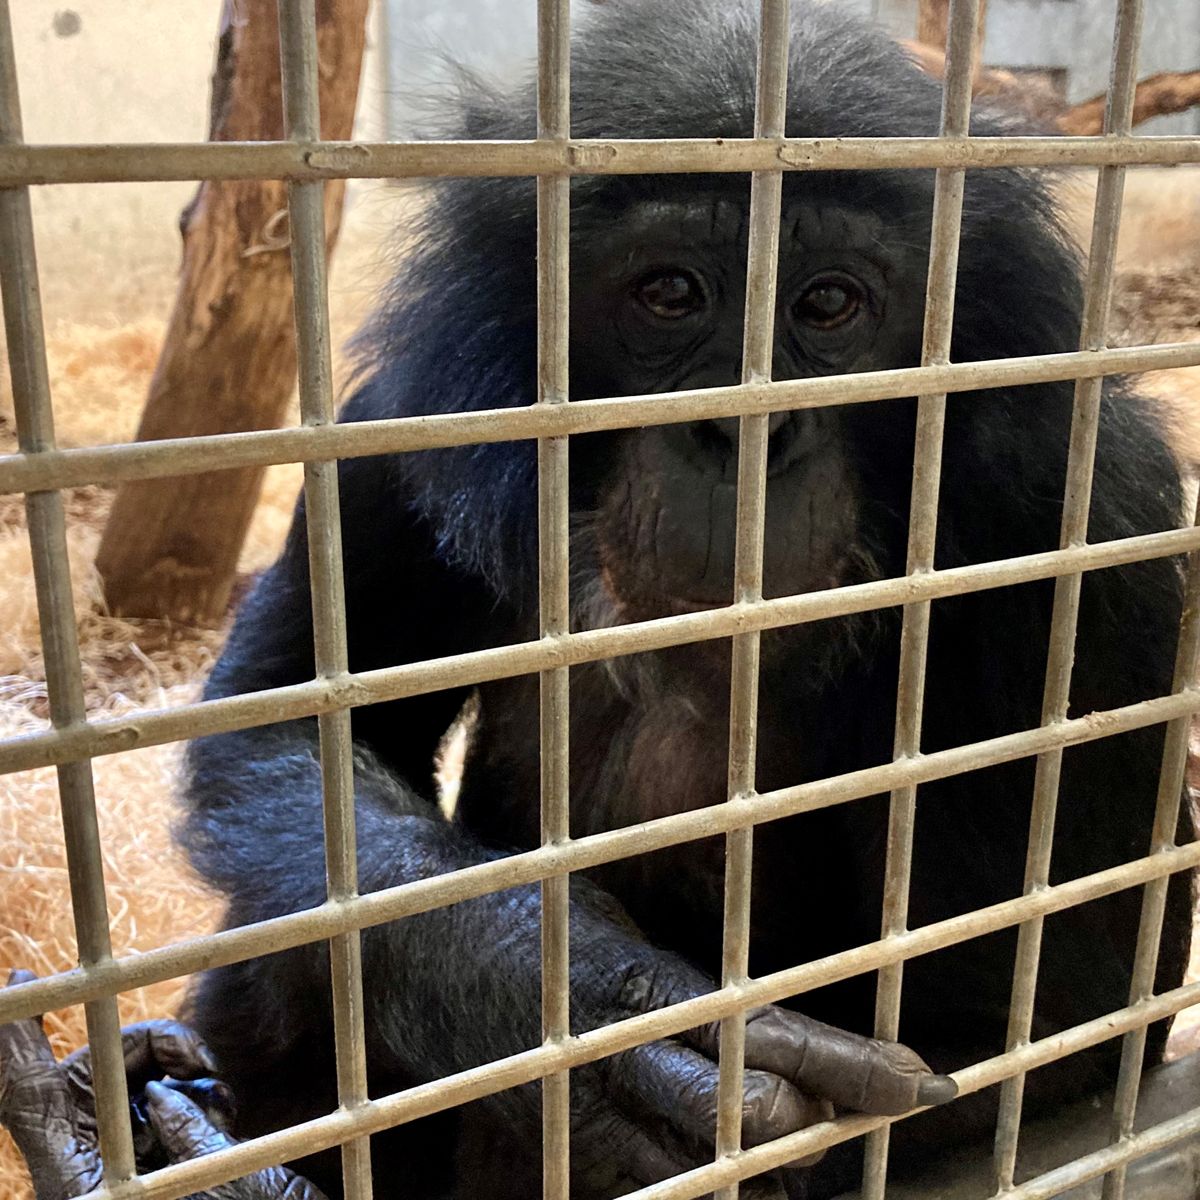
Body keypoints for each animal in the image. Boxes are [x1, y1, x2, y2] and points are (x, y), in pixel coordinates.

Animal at [4, 2, 1195, 1200]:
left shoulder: (1103, 514)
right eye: (670, 294)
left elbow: (1042, 1010)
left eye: (829, 304)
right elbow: (291, 727)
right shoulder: (397, 426)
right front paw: (596, 1016)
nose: (746, 431)